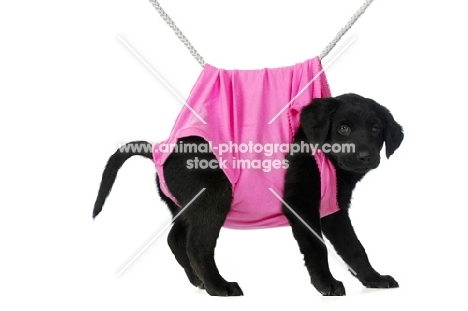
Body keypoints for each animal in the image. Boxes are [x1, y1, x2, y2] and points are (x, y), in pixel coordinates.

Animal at [93, 93, 404, 298]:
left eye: (375, 128)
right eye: (343, 127)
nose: (364, 156)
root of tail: (160, 151)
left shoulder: (334, 210)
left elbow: (354, 247)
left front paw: (373, 279)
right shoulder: (301, 204)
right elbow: (318, 247)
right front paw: (325, 284)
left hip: (186, 206)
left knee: (176, 239)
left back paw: (199, 281)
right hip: (214, 196)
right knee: (197, 245)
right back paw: (219, 286)